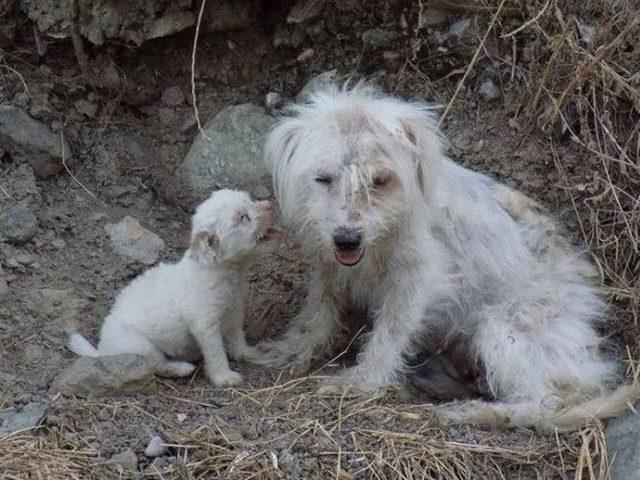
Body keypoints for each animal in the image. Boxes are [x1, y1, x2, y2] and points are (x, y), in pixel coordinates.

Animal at [67, 188, 280, 386]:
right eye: (242, 217)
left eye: (250, 199)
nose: (270, 205)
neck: (225, 271)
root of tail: (102, 351)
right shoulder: (205, 325)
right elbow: (216, 352)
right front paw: (223, 377)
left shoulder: (234, 311)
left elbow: (237, 336)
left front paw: (247, 353)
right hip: (141, 346)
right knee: (156, 365)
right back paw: (180, 368)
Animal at [256, 84, 640, 430]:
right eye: (323, 178)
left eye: (379, 180)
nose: (347, 239)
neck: (385, 236)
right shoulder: (329, 268)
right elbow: (316, 315)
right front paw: (290, 350)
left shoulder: (417, 280)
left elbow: (390, 333)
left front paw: (361, 381)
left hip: (503, 328)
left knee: (546, 403)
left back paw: (474, 413)